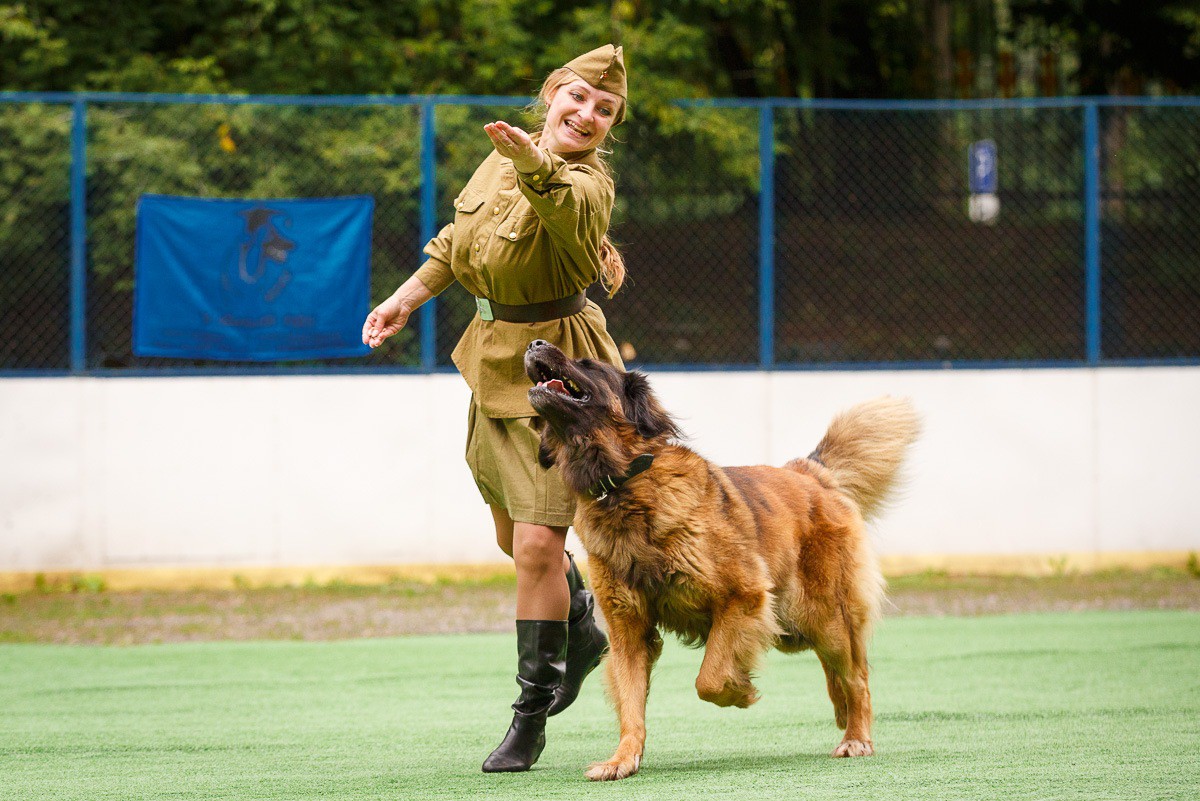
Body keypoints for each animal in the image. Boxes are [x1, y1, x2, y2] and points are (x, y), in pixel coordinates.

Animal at [523, 340, 916, 781]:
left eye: (588, 363)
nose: (535, 342)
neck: (623, 485)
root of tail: (810, 473)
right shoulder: (629, 630)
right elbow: (631, 703)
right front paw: (623, 758)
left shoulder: (742, 598)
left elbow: (708, 678)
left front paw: (740, 692)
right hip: (799, 627)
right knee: (839, 675)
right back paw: (843, 714)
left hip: (822, 614)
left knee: (857, 676)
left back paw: (857, 736)